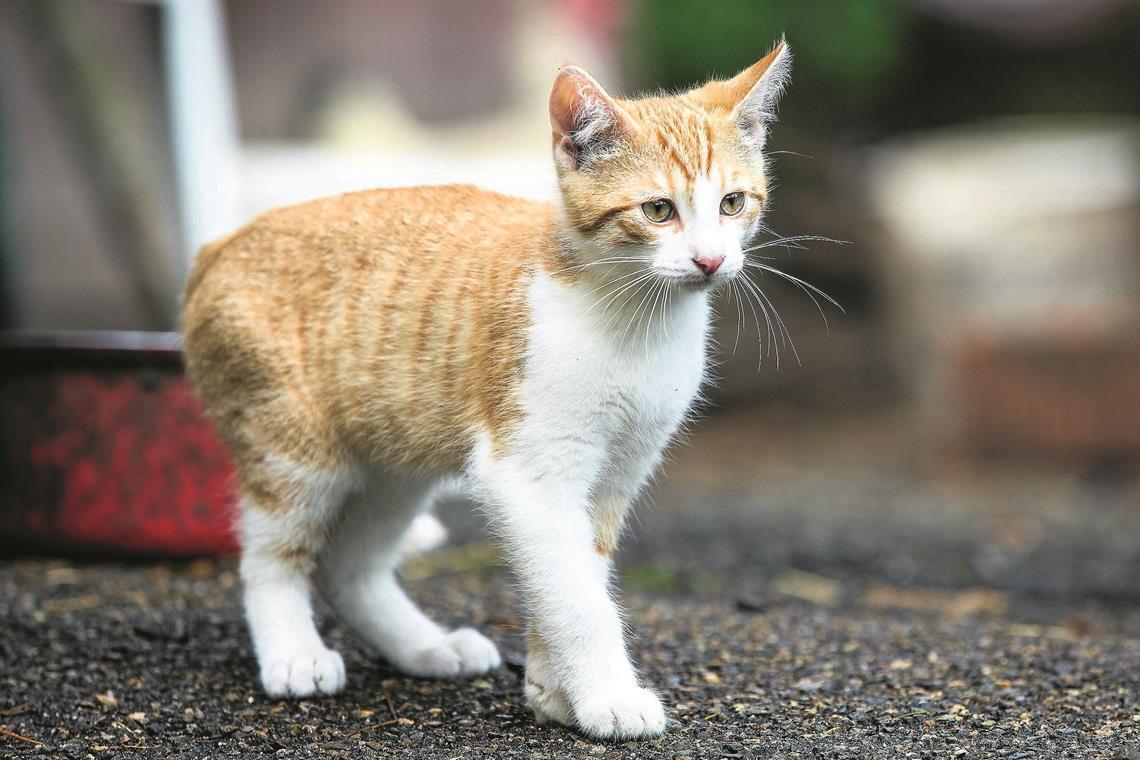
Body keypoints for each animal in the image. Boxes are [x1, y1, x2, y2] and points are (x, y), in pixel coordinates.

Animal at [182, 38, 793, 738]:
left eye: (733, 203)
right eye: (658, 209)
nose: (710, 260)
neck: (637, 325)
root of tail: (220, 245)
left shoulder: (618, 473)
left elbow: (577, 575)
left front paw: (554, 690)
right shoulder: (529, 473)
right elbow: (578, 598)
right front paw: (609, 697)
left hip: (396, 461)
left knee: (348, 567)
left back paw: (425, 648)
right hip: (295, 452)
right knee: (270, 556)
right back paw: (294, 655)